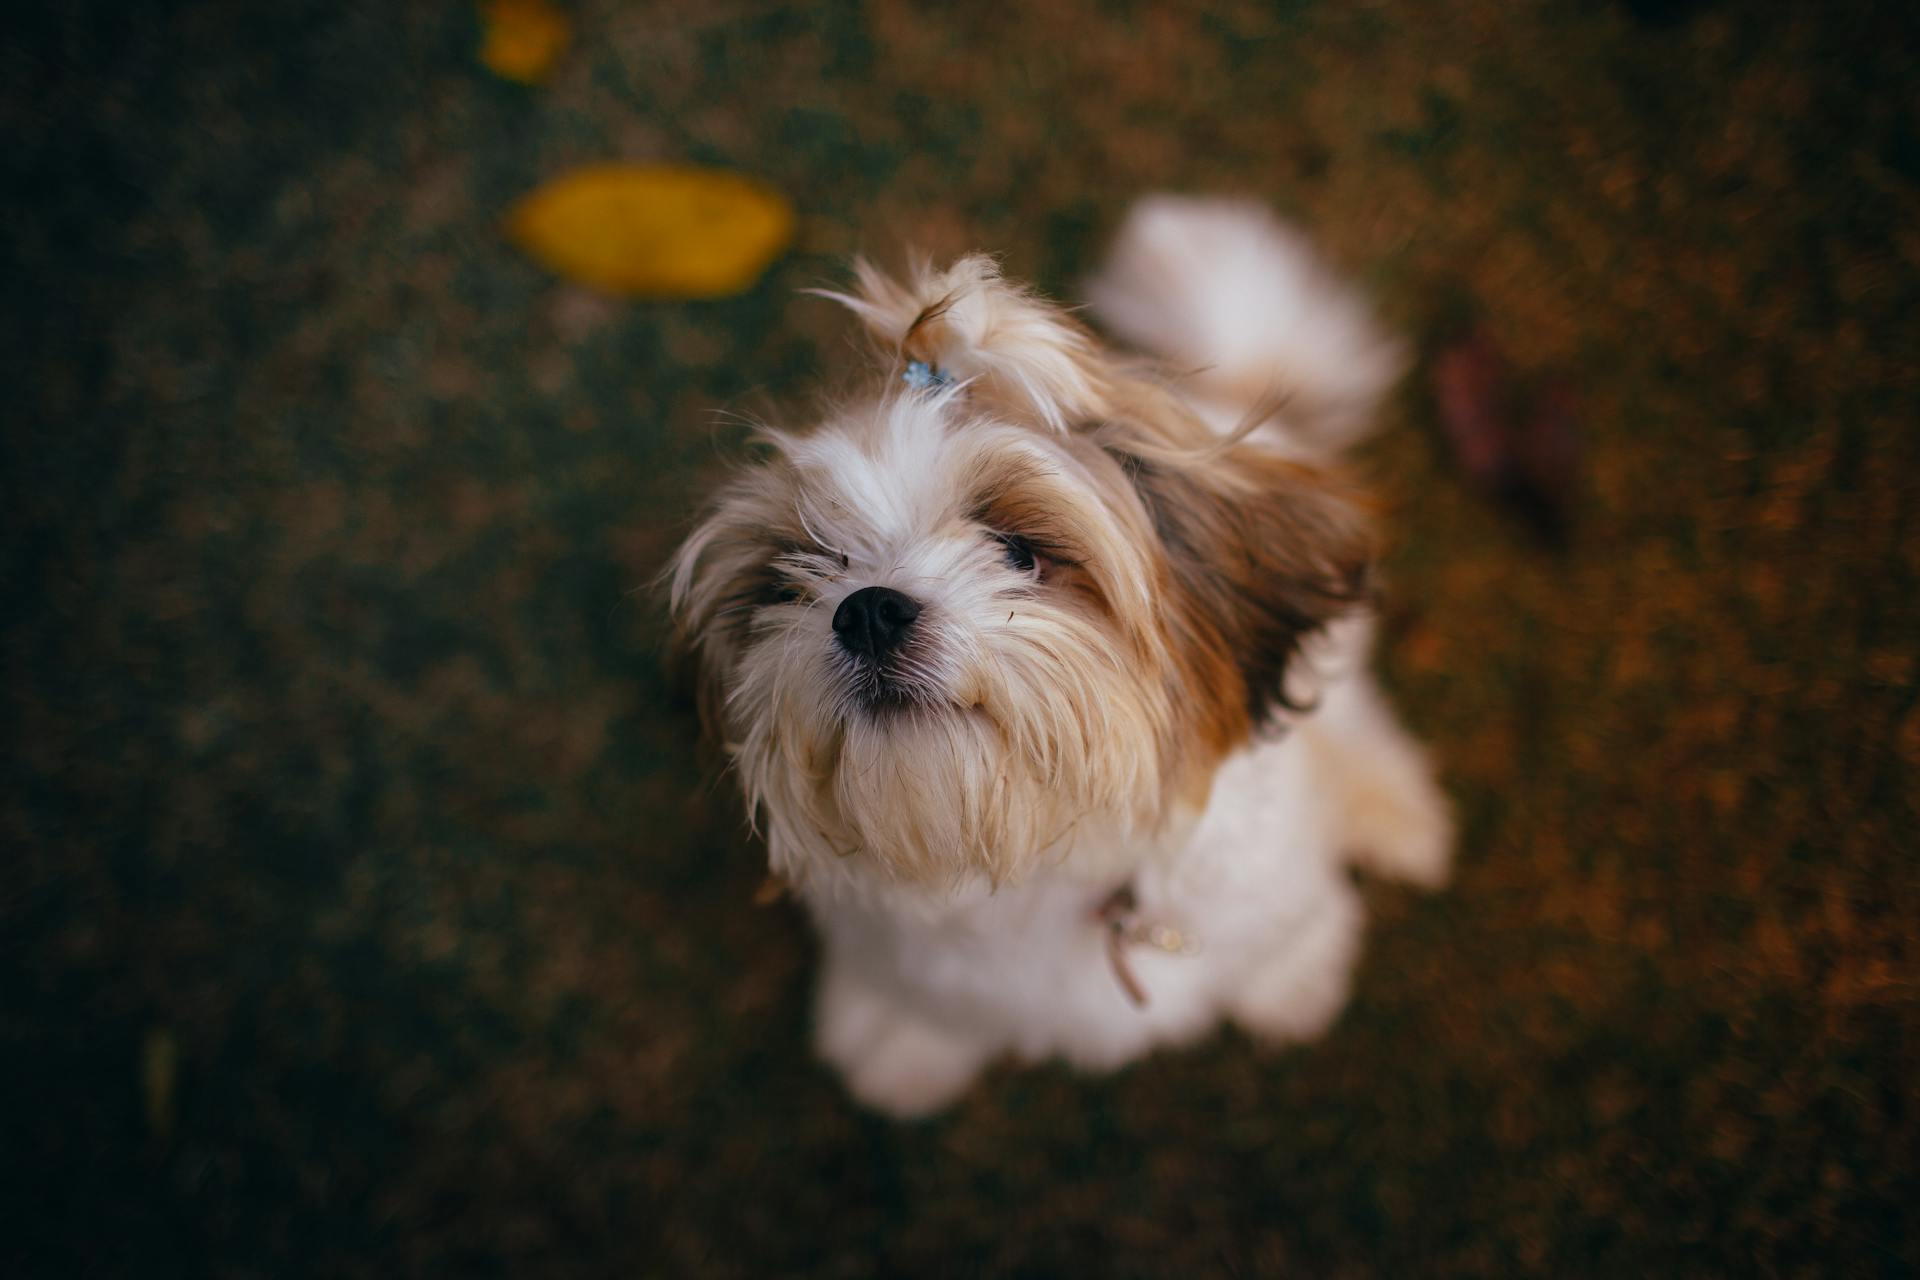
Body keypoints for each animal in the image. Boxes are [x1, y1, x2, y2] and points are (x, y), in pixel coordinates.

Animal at [668, 195, 1443, 1113]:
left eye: (1018, 550)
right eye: (796, 575)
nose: (867, 613)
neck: (1045, 858)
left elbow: (1282, 927)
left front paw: (1290, 977)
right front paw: (902, 1038)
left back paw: (1392, 808)